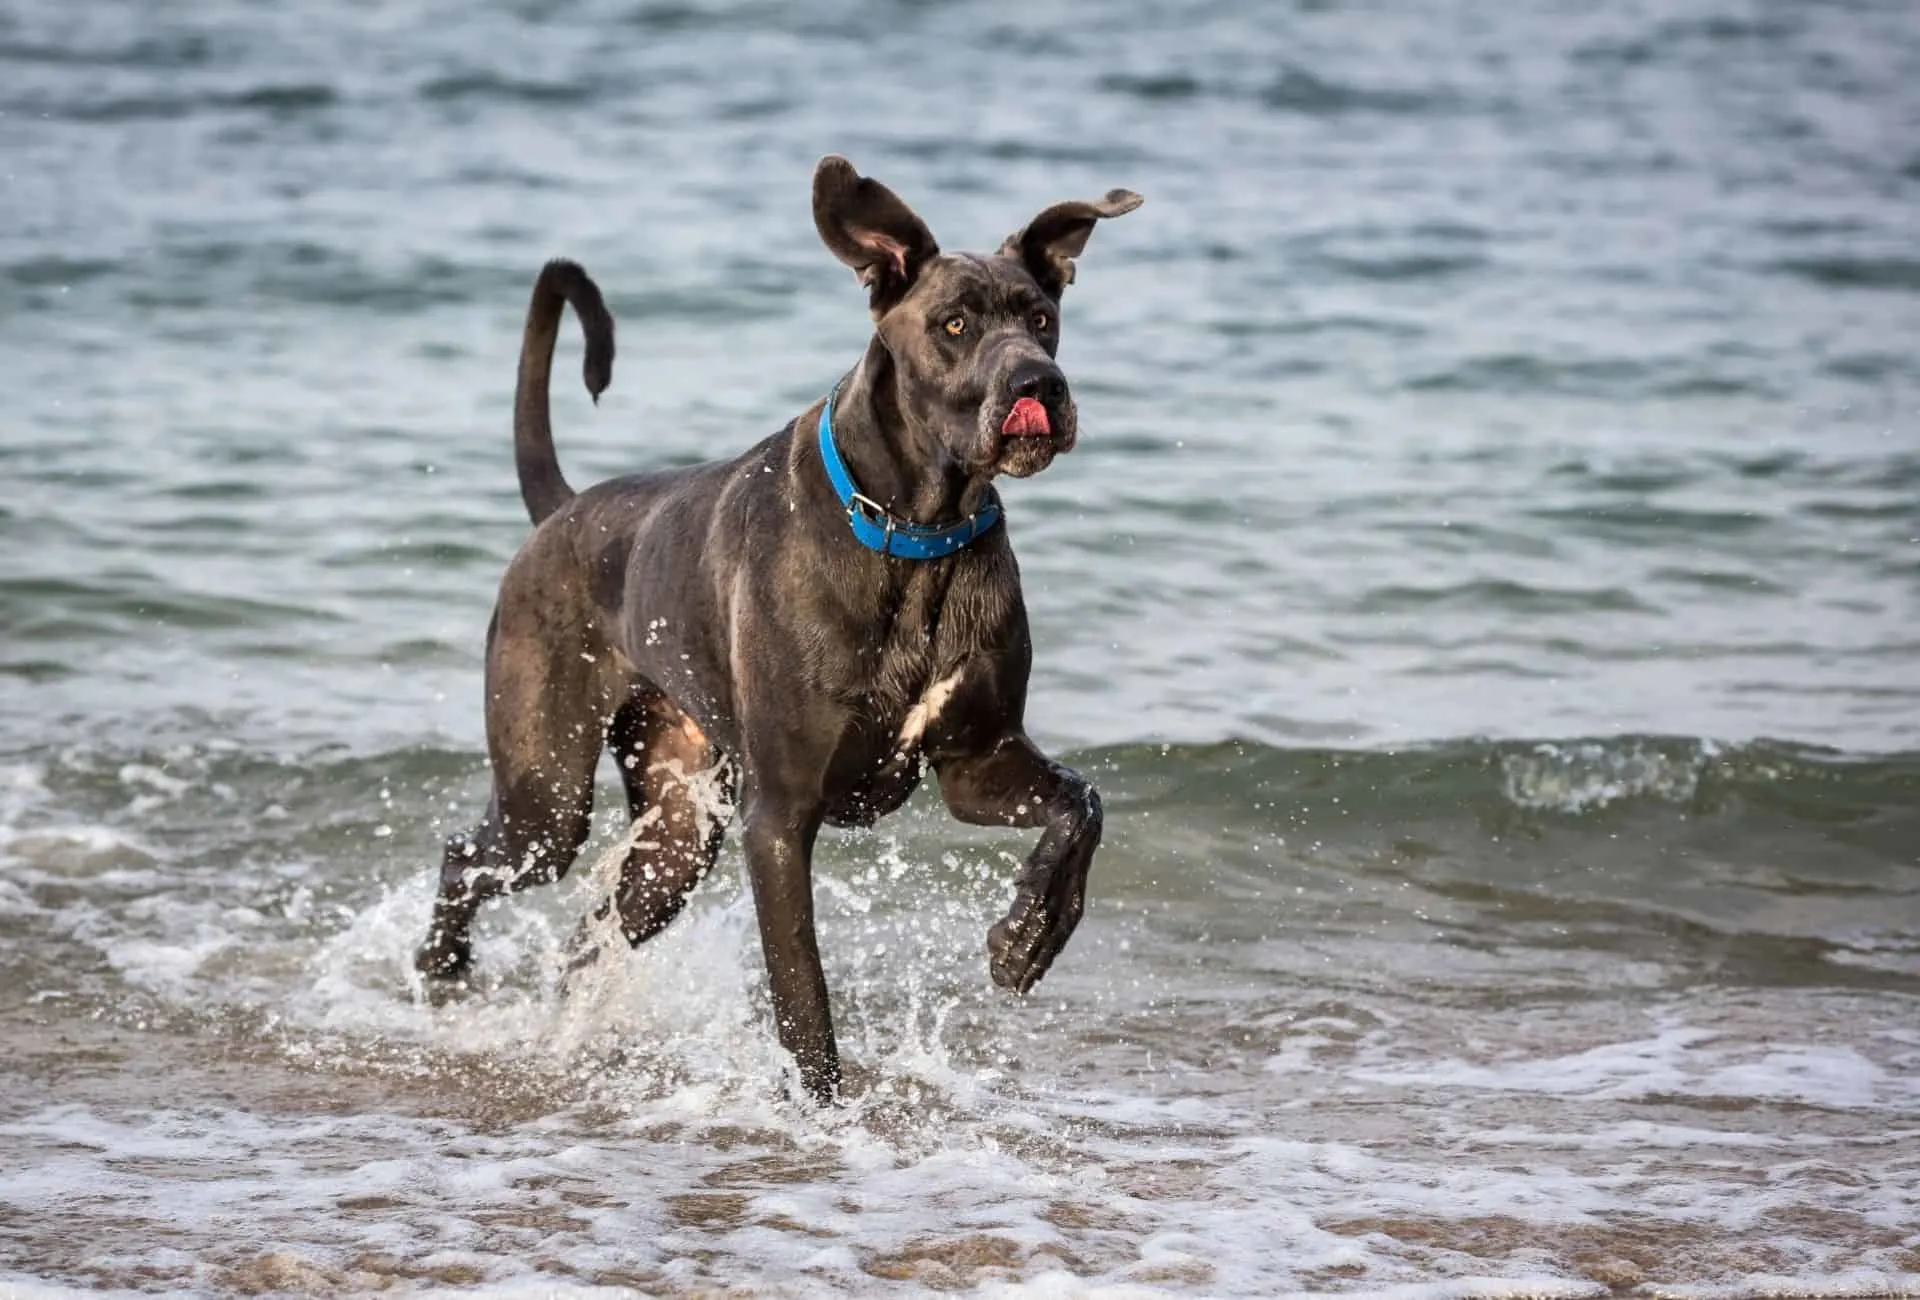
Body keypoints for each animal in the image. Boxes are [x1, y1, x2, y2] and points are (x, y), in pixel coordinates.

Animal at [416, 157, 1136, 1098]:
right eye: (954, 324)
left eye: (1042, 320)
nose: (1038, 385)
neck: (916, 535)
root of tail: (563, 510)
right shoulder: (780, 817)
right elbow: (802, 989)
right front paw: (821, 1106)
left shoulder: (978, 762)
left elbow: (1081, 804)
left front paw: (1028, 939)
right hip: (548, 796)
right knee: (468, 855)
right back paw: (441, 970)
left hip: (676, 833)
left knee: (590, 932)